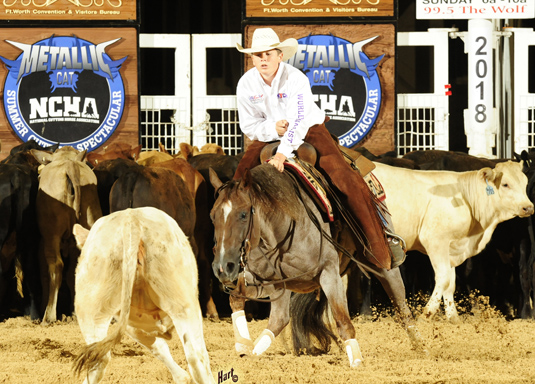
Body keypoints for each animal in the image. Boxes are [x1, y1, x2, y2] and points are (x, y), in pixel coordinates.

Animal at [209, 164, 422, 368]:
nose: (223, 266)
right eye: (212, 216)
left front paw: (357, 363)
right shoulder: (268, 281)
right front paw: (242, 346)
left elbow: (343, 321)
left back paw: (422, 349)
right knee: (279, 318)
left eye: (243, 214)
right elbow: (237, 297)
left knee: (403, 310)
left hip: (384, 266)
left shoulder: (329, 274)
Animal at [372, 160, 535, 322]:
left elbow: (450, 284)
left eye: (525, 182)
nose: (528, 207)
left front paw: (454, 319)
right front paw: (425, 316)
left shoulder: (451, 247)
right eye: (505, 184)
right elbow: (443, 278)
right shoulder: (436, 240)